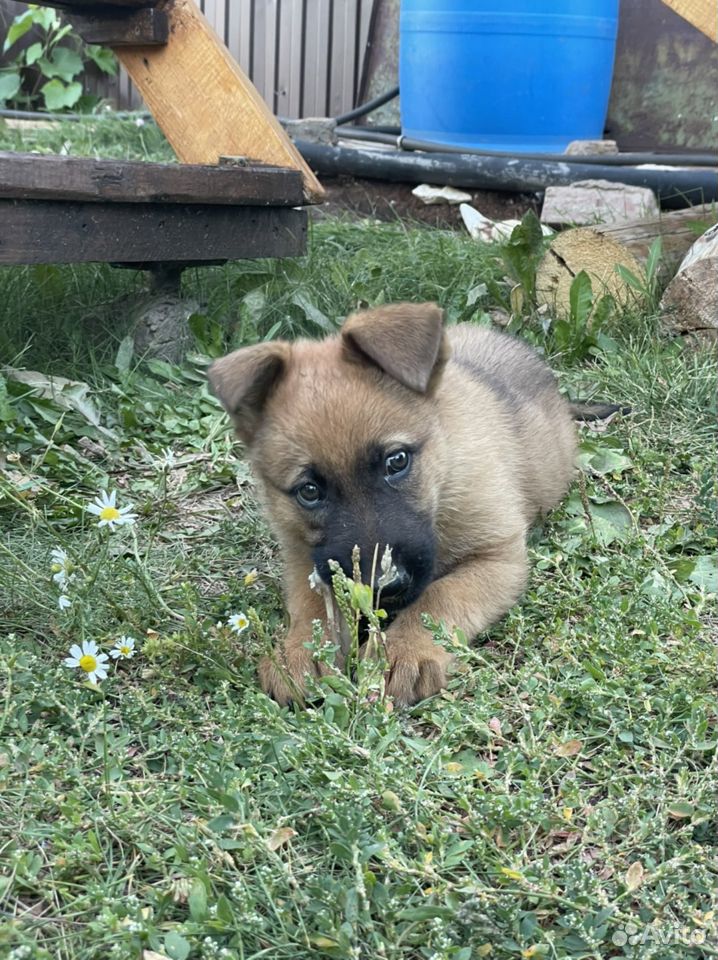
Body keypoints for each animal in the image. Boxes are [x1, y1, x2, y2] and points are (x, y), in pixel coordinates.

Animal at [210, 306, 580, 704]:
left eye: (397, 461)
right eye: (309, 491)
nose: (383, 588)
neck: (442, 477)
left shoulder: (498, 557)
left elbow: (438, 596)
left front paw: (402, 650)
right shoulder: (305, 558)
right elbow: (313, 604)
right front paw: (300, 650)